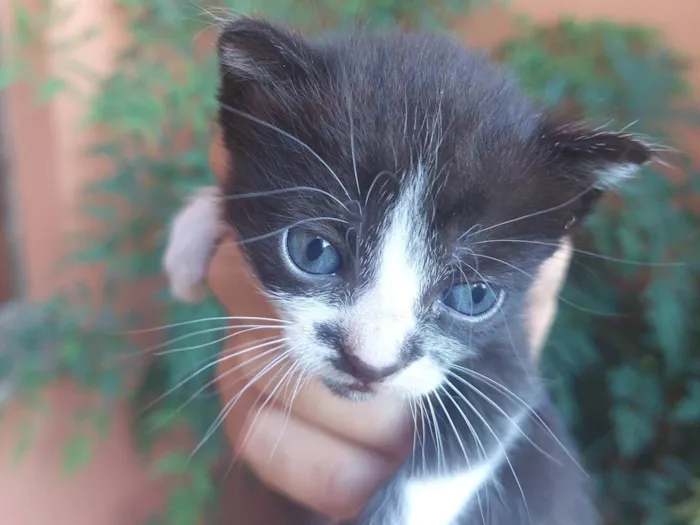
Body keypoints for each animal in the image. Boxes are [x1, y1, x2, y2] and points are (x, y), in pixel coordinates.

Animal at [163, 17, 652, 525]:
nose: (370, 364)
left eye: (473, 297)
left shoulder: (510, 356)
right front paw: (194, 233)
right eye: (314, 251)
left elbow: (468, 444)